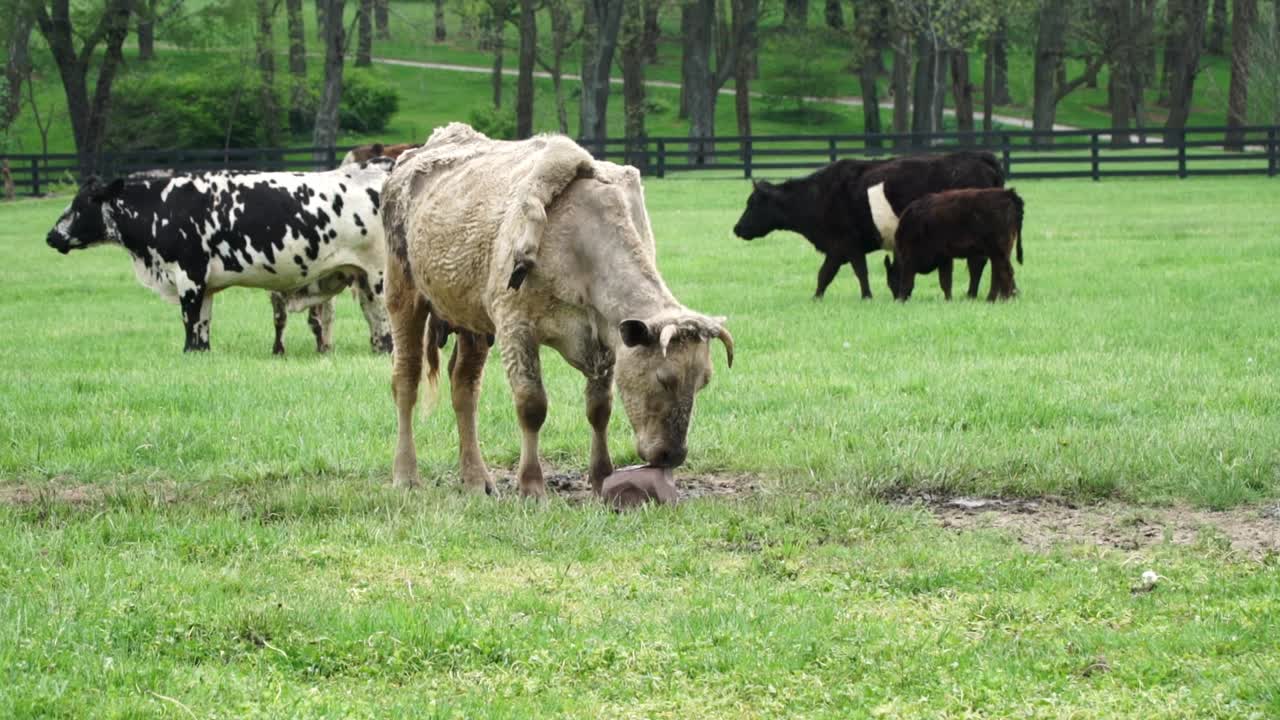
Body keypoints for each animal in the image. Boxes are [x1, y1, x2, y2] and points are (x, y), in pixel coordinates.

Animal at [45, 161, 395, 353]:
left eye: (81, 205)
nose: (51, 236)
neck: (162, 206)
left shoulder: (188, 275)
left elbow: (189, 320)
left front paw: (187, 350)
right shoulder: (204, 285)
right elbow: (202, 323)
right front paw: (200, 352)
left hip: (379, 276)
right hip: (362, 278)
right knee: (375, 321)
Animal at [382, 123, 734, 497]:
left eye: (703, 381)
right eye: (664, 378)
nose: (672, 455)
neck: (578, 240)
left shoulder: (605, 337)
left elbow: (599, 408)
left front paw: (600, 475)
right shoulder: (516, 328)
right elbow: (532, 405)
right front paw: (531, 484)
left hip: (471, 321)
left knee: (464, 387)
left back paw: (476, 478)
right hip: (403, 296)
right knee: (406, 380)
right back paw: (406, 474)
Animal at [732, 151, 1004, 301]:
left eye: (752, 203)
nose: (737, 228)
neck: (818, 195)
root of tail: (978, 156)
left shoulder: (847, 243)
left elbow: (854, 271)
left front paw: (865, 296)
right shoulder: (838, 248)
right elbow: (826, 274)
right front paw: (817, 297)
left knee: (978, 263)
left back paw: (971, 293)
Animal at [884, 188, 1025, 302]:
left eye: (891, 281)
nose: (895, 299)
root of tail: (1008, 194)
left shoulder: (910, 259)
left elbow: (908, 282)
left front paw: (902, 299)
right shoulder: (944, 258)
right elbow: (946, 282)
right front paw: (949, 300)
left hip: (998, 251)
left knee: (1005, 272)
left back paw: (1004, 299)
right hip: (998, 253)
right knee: (998, 273)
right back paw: (994, 299)